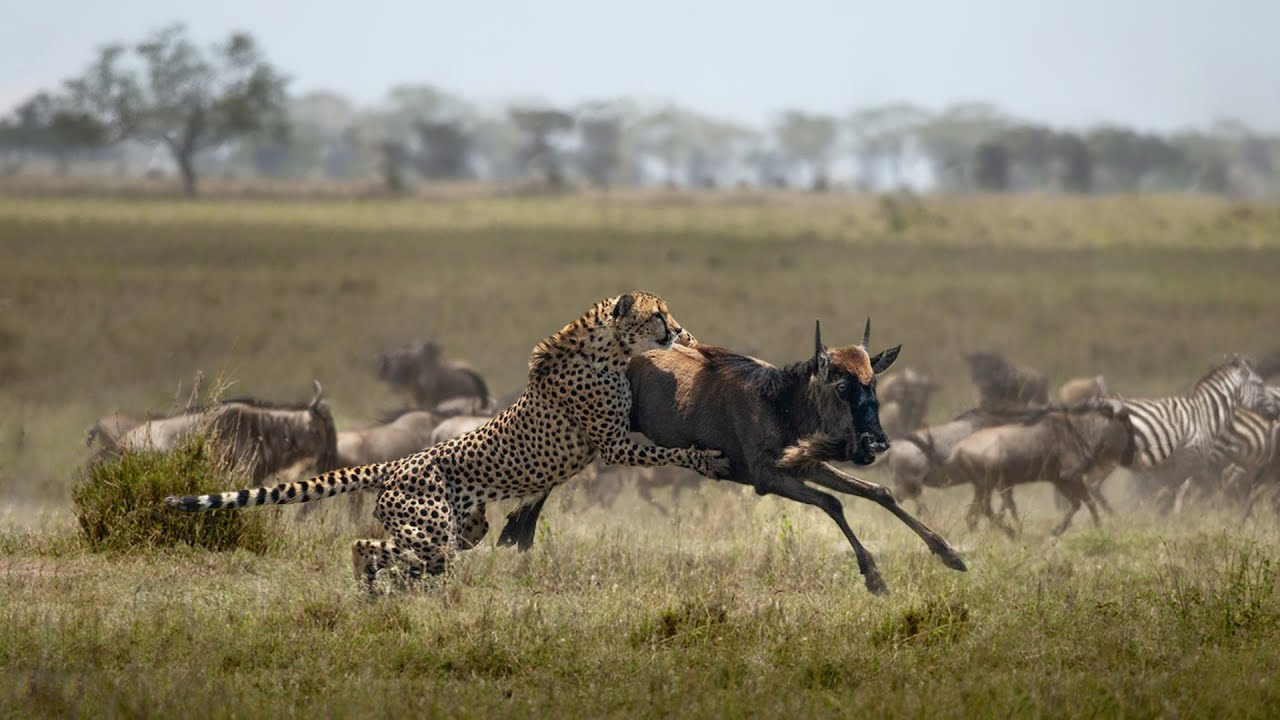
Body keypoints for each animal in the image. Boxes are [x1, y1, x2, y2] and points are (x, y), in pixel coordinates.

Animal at [165, 291, 730, 589]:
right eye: (656, 314)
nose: (674, 328)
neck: (606, 348)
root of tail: (397, 464)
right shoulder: (612, 444)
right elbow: (668, 450)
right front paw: (706, 457)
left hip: (466, 527)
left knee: (391, 551)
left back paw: (384, 593)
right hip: (431, 527)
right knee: (367, 544)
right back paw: (379, 591)